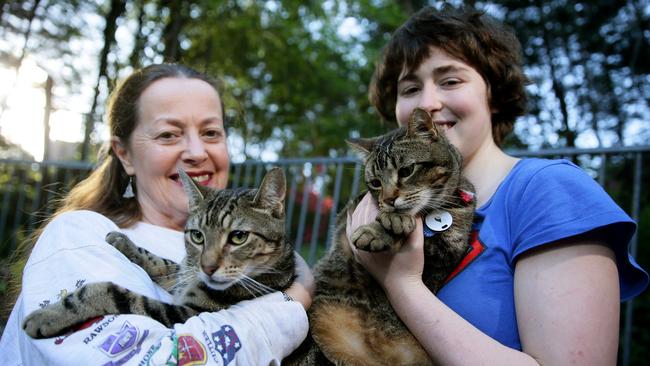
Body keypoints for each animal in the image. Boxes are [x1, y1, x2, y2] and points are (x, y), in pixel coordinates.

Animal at [20, 167, 294, 338]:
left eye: (238, 237)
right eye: (197, 236)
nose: (207, 268)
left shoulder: (184, 314)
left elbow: (110, 292)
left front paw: (50, 315)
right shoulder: (185, 273)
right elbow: (165, 263)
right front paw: (123, 241)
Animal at [306, 107, 476, 364]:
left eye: (406, 171)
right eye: (376, 183)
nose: (388, 199)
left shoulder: (448, 250)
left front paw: (390, 224)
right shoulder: (346, 217)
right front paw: (390, 221)